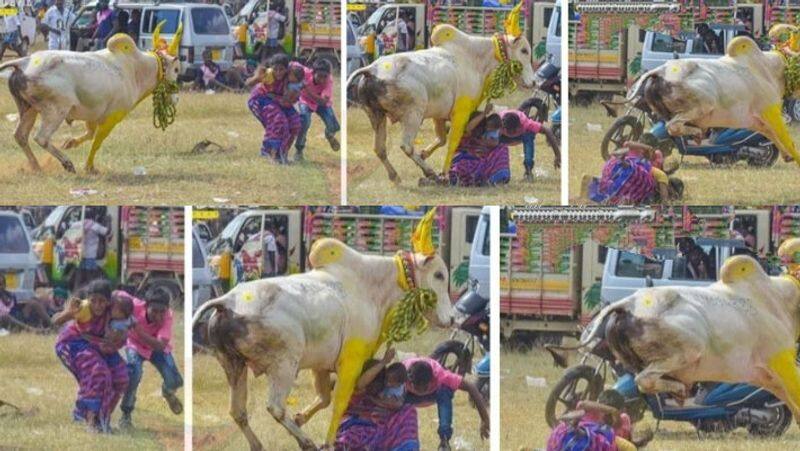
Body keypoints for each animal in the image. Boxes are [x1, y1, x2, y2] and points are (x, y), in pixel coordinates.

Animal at [0, 23, 182, 175]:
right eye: (177, 69)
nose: (176, 98)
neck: (136, 69)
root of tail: (24, 62)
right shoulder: (113, 116)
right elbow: (97, 141)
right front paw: (89, 167)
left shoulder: (93, 115)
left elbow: (90, 134)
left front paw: (70, 143)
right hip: (56, 110)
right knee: (41, 137)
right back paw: (67, 163)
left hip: (28, 108)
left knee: (20, 136)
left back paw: (36, 167)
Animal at [191, 237, 454, 448]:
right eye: (439, 275)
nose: (452, 318)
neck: (371, 289)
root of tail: (228, 301)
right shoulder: (351, 363)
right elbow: (339, 403)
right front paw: (327, 443)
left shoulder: (321, 366)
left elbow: (325, 398)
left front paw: (301, 418)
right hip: (284, 365)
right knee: (275, 407)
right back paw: (306, 442)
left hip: (234, 365)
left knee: (238, 411)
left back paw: (259, 445)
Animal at [346, 3, 536, 184]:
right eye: (524, 50)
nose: (534, 82)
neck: (475, 60)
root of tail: (372, 69)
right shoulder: (460, 113)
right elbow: (452, 142)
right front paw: (444, 174)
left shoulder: (439, 115)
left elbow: (442, 139)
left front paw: (424, 153)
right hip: (413, 114)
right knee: (406, 146)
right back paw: (429, 172)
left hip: (376, 115)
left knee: (379, 148)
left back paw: (395, 176)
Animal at [580, 254, 800, 424]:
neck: (780, 300)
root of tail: (627, 304)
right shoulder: (778, 358)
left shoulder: (765, 374)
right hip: (689, 348)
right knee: (644, 379)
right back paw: (678, 389)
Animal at [628, 35, 800, 166]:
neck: (770, 69)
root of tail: (659, 72)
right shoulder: (769, 110)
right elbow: (787, 140)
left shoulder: (755, 121)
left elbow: (771, 134)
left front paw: (787, 156)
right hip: (704, 104)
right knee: (673, 126)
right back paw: (697, 133)